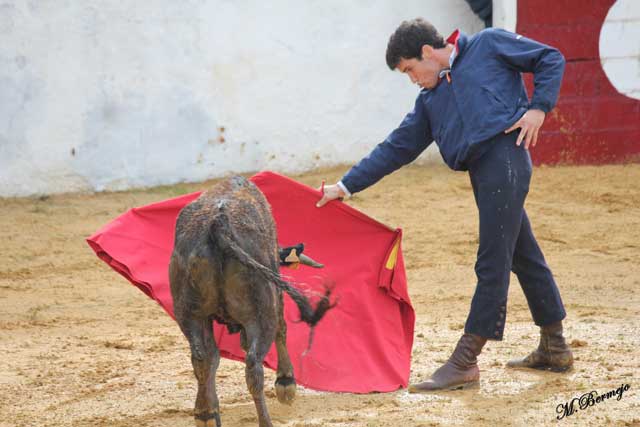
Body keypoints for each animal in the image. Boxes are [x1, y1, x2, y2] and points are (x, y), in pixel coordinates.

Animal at [168, 176, 332, 427]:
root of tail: (219, 224)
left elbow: (213, 357)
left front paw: (209, 410)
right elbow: (281, 330)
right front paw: (286, 383)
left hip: (189, 313)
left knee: (201, 359)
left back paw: (206, 415)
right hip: (261, 312)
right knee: (254, 365)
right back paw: (266, 420)